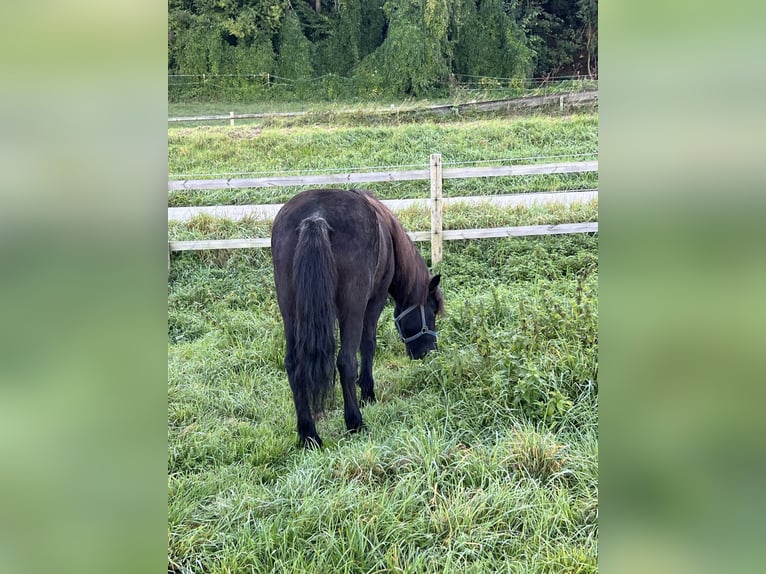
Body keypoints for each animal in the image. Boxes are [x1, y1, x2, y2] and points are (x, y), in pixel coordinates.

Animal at [272, 189, 448, 450]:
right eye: (433, 311)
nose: (428, 353)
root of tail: (315, 218)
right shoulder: (374, 300)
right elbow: (368, 345)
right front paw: (367, 393)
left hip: (290, 312)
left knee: (293, 365)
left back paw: (309, 435)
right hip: (352, 307)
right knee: (345, 360)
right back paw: (355, 422)